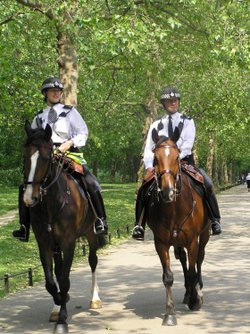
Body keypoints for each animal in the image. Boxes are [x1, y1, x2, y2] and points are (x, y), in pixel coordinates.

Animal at [22, 120, 106, 334]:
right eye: (25, 157)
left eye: (45, 158)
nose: (29, 197)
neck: (52, 203)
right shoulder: (44, 243)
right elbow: (52, 282)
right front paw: (59, 304)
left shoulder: (68, 242)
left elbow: (65, 280)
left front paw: (62, 320)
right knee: (59, 272)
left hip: (91, 234)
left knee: (93, 261)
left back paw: (95, 299)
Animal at [146, 129, 210, 326]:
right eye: (155, 158)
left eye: (176, 157)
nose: (168, 192)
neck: (173, 208)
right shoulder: (161, 243)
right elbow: (168, 277)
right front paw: (169, 314)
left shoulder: (192, 240)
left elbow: (192, 269)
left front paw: (195, 300)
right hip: (177, 240)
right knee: (182, 259)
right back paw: (188, 292)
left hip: (204, 234)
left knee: (199, 260)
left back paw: (197, 290)